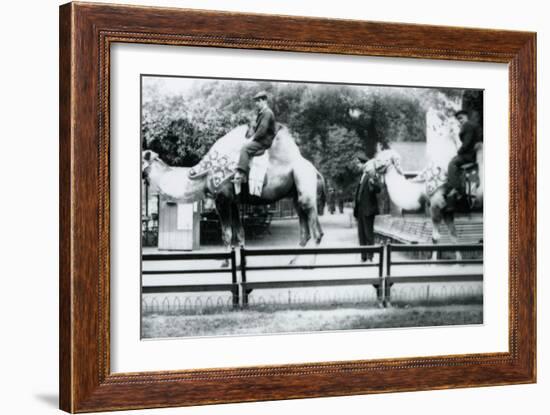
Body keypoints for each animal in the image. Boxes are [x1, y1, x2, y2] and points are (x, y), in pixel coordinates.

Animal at [141, 123, 328, 266]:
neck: (203, 175)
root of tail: (316, 172)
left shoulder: (222, 199)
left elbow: (227, 234)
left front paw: (225, 262)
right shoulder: (233, 202)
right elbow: (240, 233)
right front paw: (242, 261)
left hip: (306, 191)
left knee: (317, 232)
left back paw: (311, 264)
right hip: (296, 197)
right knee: (305, 232)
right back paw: (293, 261)